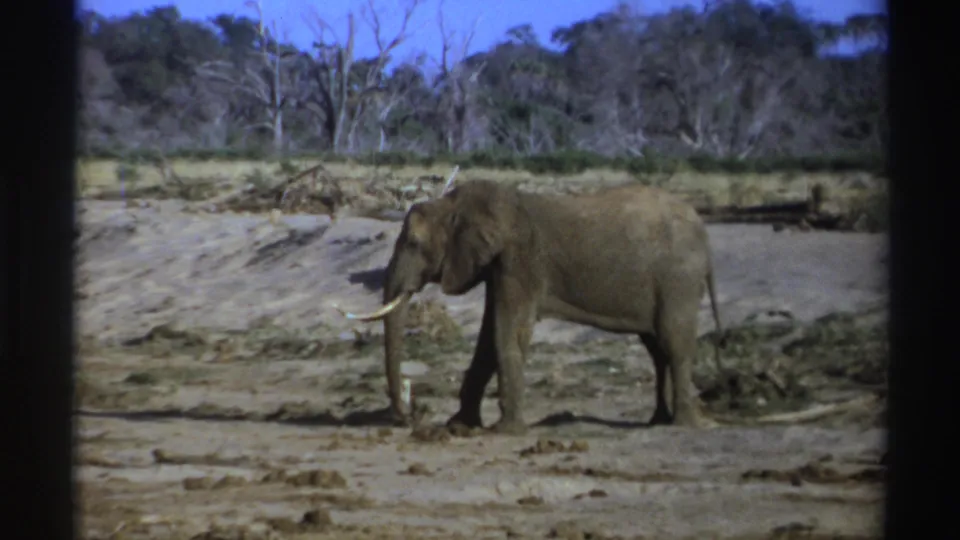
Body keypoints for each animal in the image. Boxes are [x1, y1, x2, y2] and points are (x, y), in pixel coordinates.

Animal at [336, 179, 724, 434]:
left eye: (415, 243)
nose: (411, 416)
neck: (455, 205)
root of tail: (706, 238)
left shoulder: (519, 262)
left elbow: (507, 332)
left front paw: (505, 430)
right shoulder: (497, 266)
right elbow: (488, 339)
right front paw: (460, 425)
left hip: (678, 279)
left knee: (674, 341)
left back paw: (684, 425)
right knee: (657, 349)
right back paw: (659, 421)